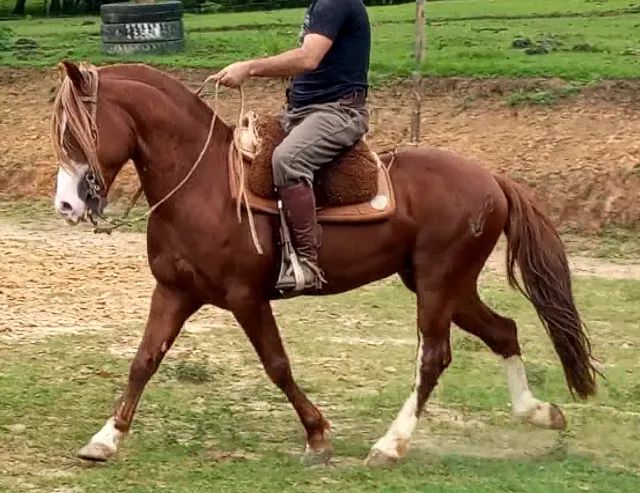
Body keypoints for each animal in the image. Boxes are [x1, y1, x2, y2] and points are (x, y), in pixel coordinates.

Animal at [51, 60, 597, 467]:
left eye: (78, 132)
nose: (67, 205)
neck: (202, 183)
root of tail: (492, 180)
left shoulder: (246, 298)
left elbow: (277, 365)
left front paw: (317, 436)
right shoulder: (174, 291)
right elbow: (143, 360)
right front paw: (106, 438)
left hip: (438, 283)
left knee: (434, 356)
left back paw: (390, 445)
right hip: (449, 285)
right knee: (503, 331)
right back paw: (538, 412)